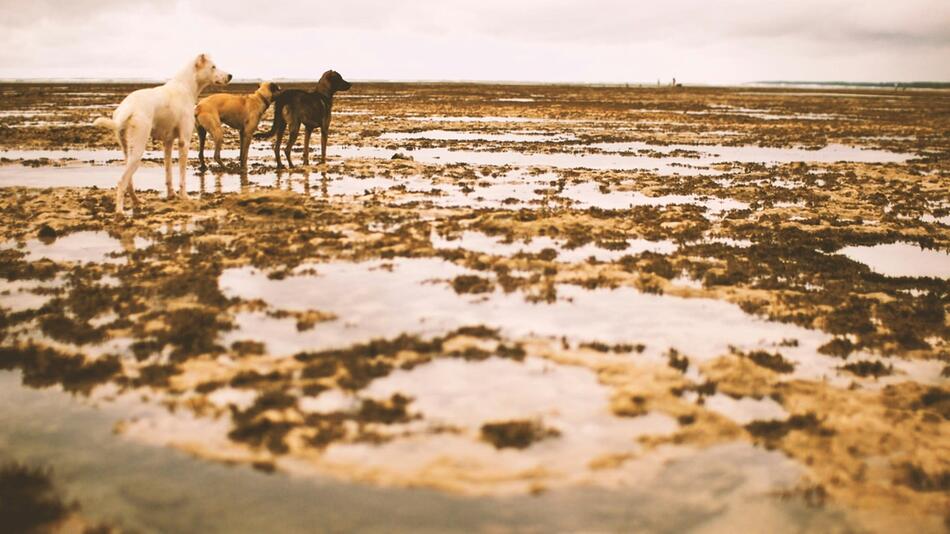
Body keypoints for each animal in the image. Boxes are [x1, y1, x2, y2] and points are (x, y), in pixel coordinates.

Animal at [92, 54, 232, 214]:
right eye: (213, 67)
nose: (230, 76)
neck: (186, 87)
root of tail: (127, 108)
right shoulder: (184, 142)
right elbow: (182, 175)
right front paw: (184, 196)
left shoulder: (168, 142)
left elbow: (168, 172)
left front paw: (171, 195)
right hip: (138, 149)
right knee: (122, 182)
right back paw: (120, 212)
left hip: (127, 150)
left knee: (129, 182)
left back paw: (137, 201)